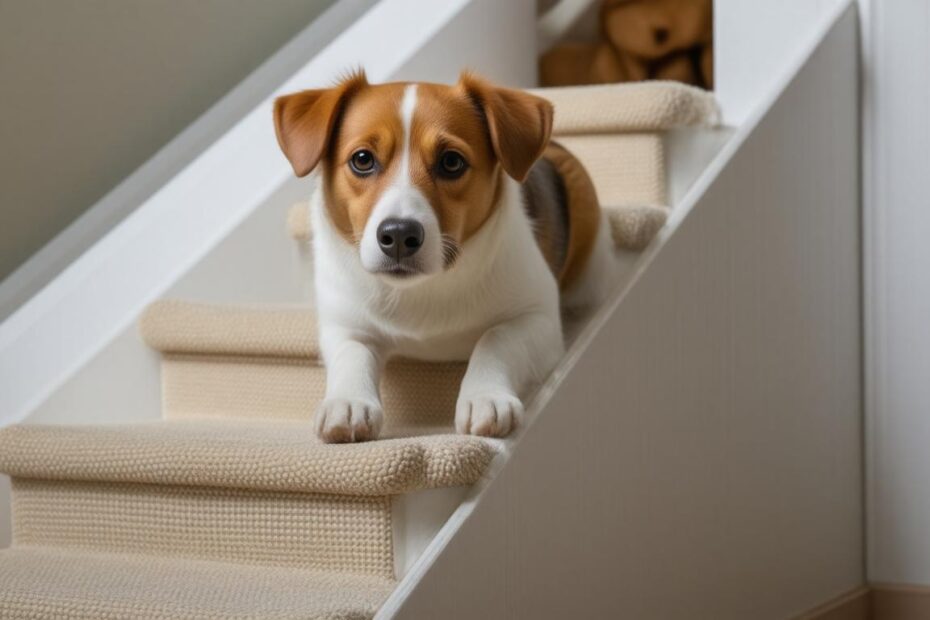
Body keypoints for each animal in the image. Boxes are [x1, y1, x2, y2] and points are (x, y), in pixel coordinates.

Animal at [272, 71, 612, 440]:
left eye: (451, 162)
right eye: (362, 159)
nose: (398, 235)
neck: (425, 289)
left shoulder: (538, 318)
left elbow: (496, 338)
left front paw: (485, 395)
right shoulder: (342, 325)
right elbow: (353, 353)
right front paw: (349, 402)